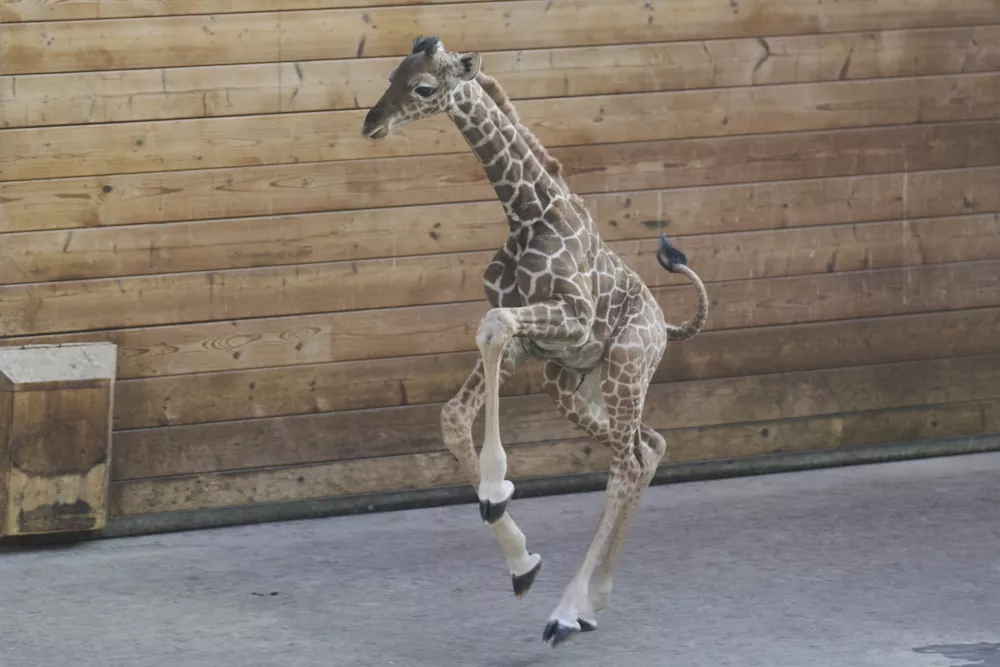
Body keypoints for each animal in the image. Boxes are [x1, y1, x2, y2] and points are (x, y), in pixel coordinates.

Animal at [362, 36, 709, 647]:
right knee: (648, 448)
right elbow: (454, 412)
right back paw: (593, 603)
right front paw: (519, 559)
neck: (527, 213)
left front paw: (497, 490)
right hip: (572, 387)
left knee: (626, 465)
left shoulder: (568, 319)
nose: (371, 122)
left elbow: (493, 324)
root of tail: (665, 328)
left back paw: (568, 613)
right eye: (391, 76)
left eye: (424, 87)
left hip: (625, 366)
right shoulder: (533, 346)